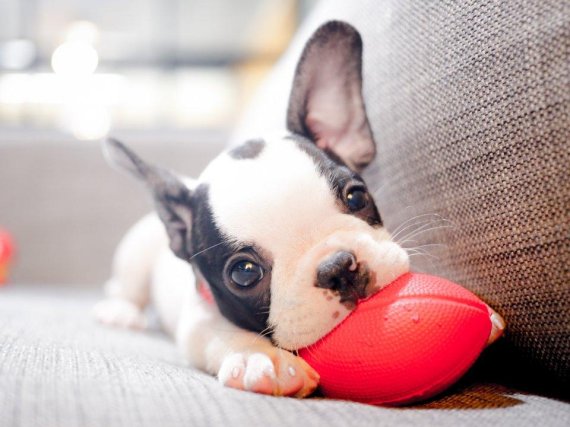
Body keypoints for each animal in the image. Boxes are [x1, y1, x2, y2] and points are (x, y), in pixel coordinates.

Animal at [92, 21, 502, 400]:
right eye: (243, 273)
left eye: (357, 198)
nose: (338, 268)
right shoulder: (198, 319)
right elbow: (221, 333)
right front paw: (263, 358)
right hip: (135, 253)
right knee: (124, 287)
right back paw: (122, 312)